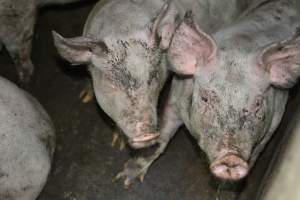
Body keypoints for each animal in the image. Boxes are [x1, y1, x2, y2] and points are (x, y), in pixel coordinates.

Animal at [114, 0, 300, 186]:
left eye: (258, 104)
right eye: (205, 98)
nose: (231, 156)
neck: (240, 47)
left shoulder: (274, 122)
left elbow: (256, 154)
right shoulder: (176, 98)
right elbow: (163, 136)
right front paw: (124, 179)